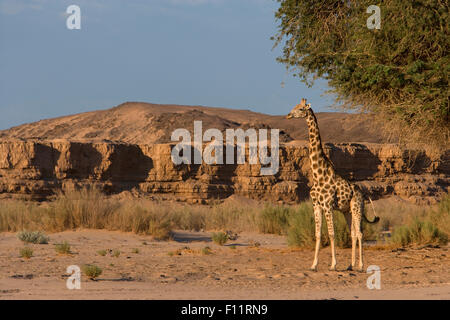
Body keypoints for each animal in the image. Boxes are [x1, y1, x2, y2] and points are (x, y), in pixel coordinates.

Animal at [286, 99, 378, 272]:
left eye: (301, 109)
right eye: (294, 106)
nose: (288, 115)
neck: (318, 175)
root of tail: (362, 193)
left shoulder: (327, 205)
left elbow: (331, 234)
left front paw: (333, 265)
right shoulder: (316, 205)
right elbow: (318, 234)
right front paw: (313, 265)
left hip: (357, 207)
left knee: (360, 233)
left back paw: (361, 265)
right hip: (347, 211)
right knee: (353, 233)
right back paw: (350, 265)